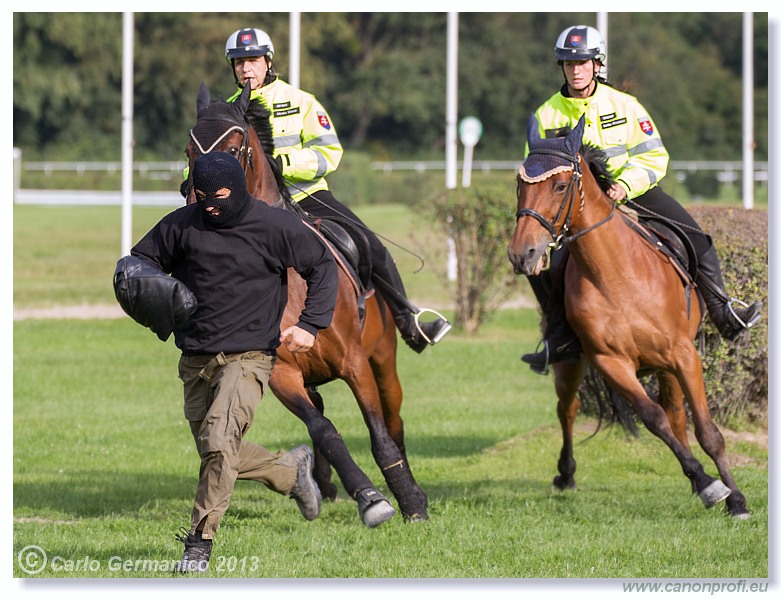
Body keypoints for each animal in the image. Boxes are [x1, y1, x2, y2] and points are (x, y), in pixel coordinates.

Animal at [183, 84, 426, 524]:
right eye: (190, 151)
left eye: (233, 147)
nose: (198, 199)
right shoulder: (281, 373)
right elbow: (323, 430)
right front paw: (368, 497)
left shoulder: (354, 361)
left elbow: (378, 433)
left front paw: (409, 501)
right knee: (325, 415)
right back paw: (327, 485)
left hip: (383, 358)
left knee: (393, 421)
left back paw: (413, 491)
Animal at [506, 115, 748, 516]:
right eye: (519, 186)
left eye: (560, 185)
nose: (521, 254)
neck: (617, 276)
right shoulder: (611, 363)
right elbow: (654, 419)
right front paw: (707, 484)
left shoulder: (684, 355)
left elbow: (707, 431)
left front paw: (736, 498)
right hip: (571, 365)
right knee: (568, 409)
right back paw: (566, 474)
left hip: (668, 365)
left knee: (678, 415)